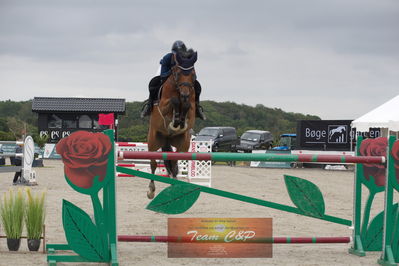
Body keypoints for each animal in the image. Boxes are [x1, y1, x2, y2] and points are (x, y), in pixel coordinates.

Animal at [146, 50, 198, 200]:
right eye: (178, 73)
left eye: (193, 74)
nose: (185, 94)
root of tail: (167, 138)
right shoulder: (162, 106)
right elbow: (174, 101)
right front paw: (175, 120)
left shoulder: (192, 109)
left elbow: (187, 106)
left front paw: (179, 121)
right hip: (154, 141)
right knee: (153, 163)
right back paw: (151, 190)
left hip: (183, 143)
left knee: (174, 165)